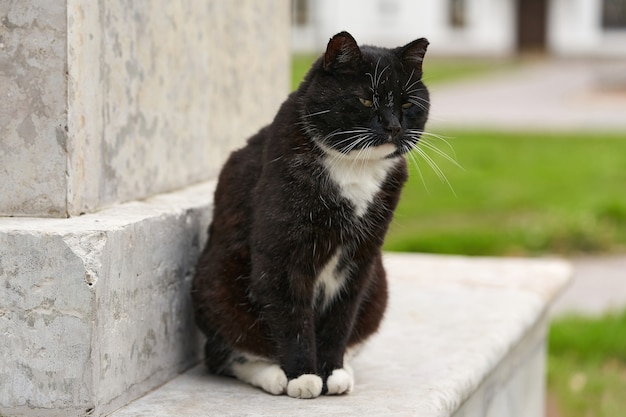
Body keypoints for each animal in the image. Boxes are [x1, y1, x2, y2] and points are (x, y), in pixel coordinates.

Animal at [188, 31, 426, 396]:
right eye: (365, 101)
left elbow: (342, 315)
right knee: (226, 355)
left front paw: (332, 370)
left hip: (379, 286)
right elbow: (291, 315)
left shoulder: (363, 257)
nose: (394, 126)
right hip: (215, 282)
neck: (354, 168)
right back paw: (274, 376)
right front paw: (303, 375)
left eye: (408, 103)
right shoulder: (281, 254)